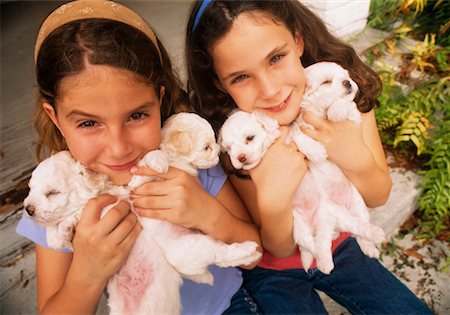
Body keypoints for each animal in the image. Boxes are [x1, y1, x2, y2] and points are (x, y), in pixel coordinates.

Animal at [220, 61, 384, 274]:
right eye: (326, 82)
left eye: (346, 76)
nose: (348, 83)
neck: (318, 112)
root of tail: (333, 216)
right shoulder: (294, 132)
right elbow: (299, 137)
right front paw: (317, 151)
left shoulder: (354, 118)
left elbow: (346, 105)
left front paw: (336, 110)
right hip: (299, 226)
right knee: (315, 245)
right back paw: (325, 263)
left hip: (357, 206)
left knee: (359, 228)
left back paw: (371, 242)